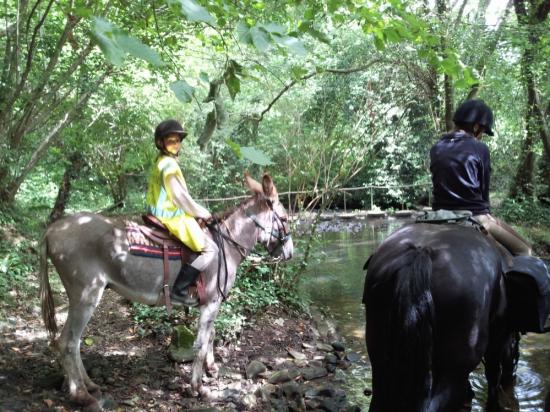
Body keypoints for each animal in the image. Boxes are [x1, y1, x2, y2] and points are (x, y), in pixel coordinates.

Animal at [40, 172, 296, 410]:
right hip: (86, 296)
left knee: (74, 342)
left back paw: (89, 385)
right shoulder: (211, 303)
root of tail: (52, 229)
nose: (290, 253)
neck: (226, 242)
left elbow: (211, 335)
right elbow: (200, 344)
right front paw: (198, 387)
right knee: (67, 342)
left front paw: (211, 368)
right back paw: (82, 395)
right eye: (284, 218)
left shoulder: (209, 304)